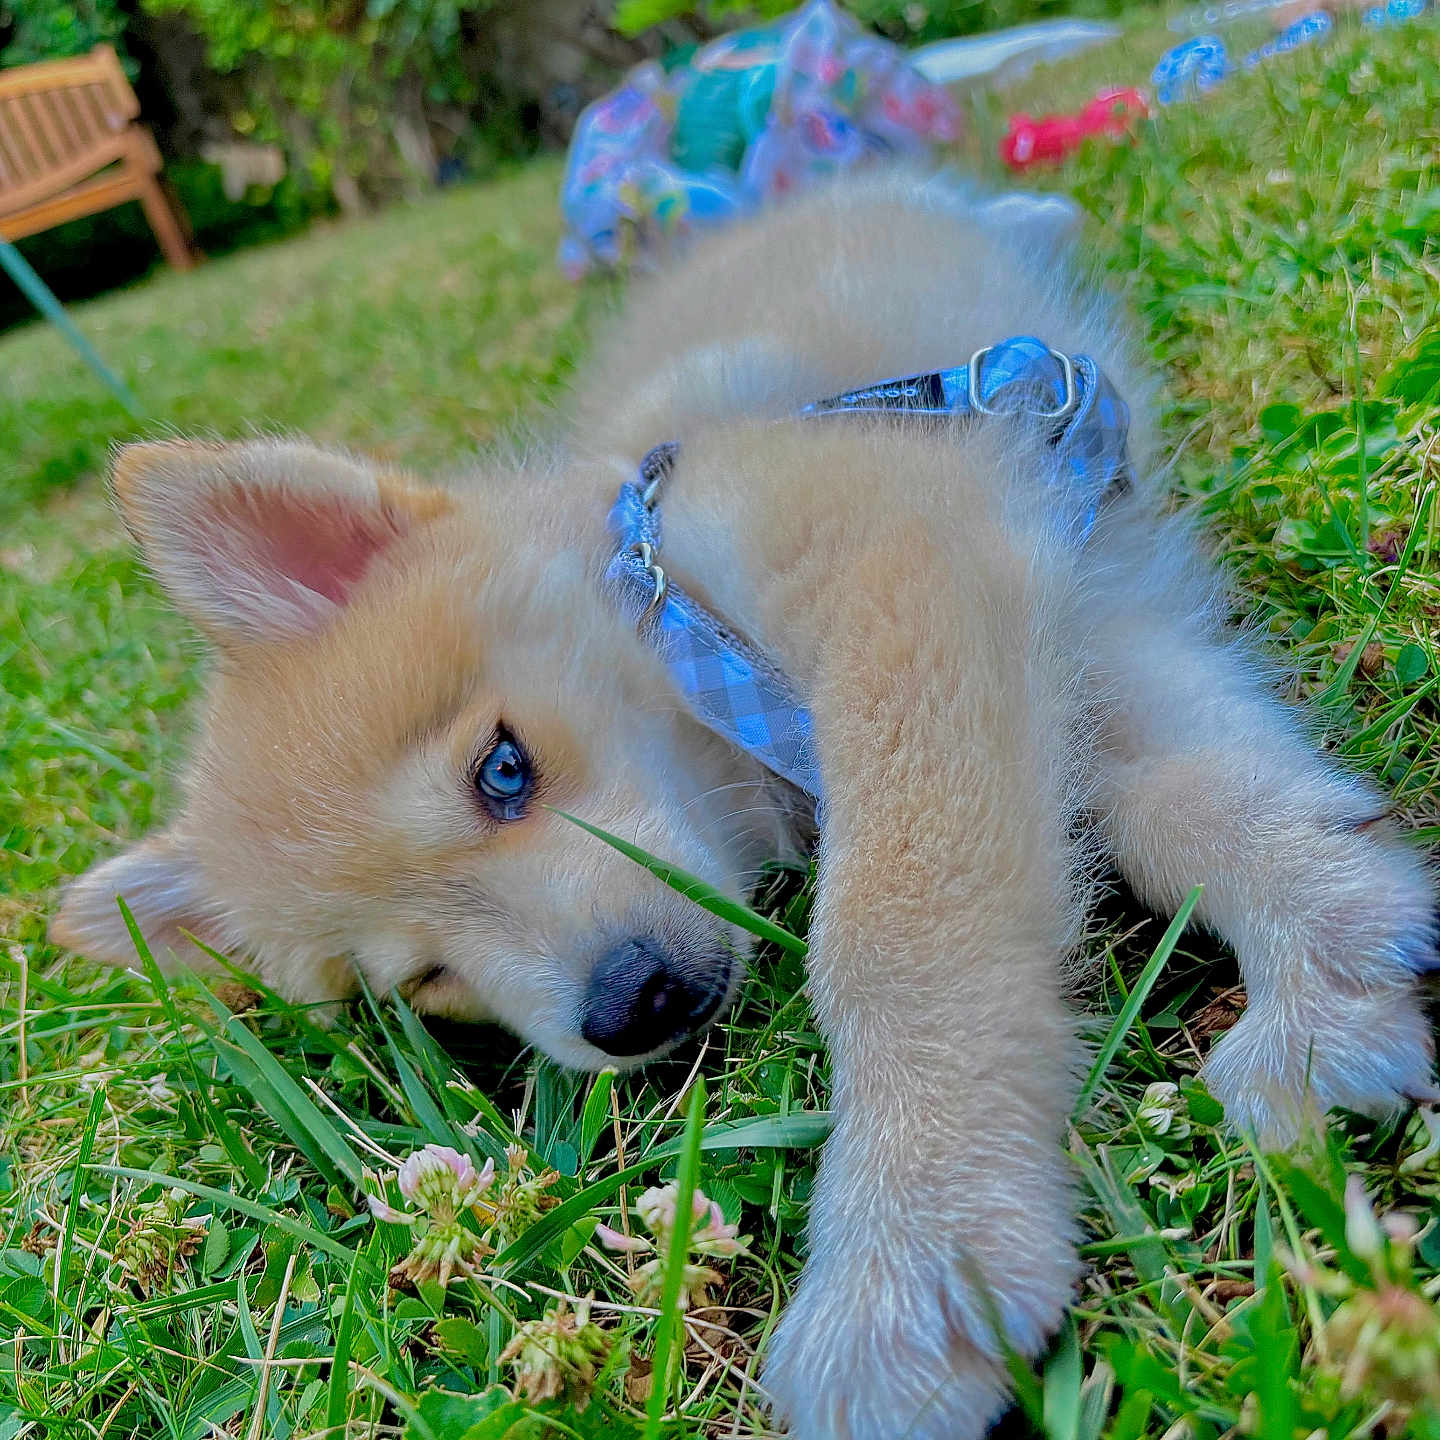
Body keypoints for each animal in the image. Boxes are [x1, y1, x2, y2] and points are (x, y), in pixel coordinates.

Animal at [53, 174, 1439, 1438]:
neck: (668, 585)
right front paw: (1336, 960)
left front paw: (913, 1247)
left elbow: (898, 930)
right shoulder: (1057, 618)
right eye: (428, 981)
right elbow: (1199, 787)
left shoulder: (909, 569)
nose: (630, 1006)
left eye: (502, 770)